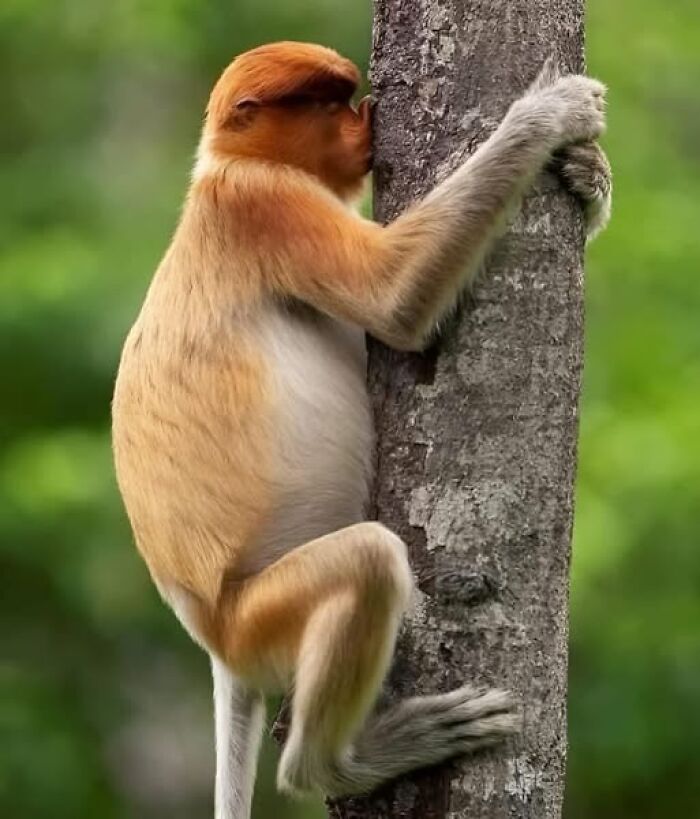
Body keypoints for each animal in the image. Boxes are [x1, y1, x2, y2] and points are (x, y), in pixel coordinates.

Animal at [112, 42, 611, 818]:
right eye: (328, 103)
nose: (366, 118)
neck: (223, 166)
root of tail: (216, 642)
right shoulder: (267, 203)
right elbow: (394, 300)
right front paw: (550, 113)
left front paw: (589, 177)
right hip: (260, 615)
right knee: (369, 561)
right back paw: (339, 764)